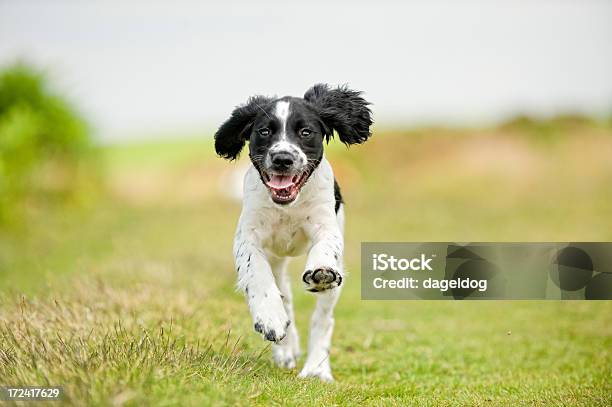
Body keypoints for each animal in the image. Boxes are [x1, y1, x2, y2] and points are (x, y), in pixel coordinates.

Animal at [215, 83, 372, 382]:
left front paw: (321, 270)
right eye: (264, 131)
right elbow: (258, 276)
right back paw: (286, 348)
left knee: (323, 318)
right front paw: (270, 319)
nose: (282, 159)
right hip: (276, 261)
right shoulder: (248, 238)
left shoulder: (326, 225)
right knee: (284, 295)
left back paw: (316, 369)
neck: (288, 205)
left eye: (306, 132)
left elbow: (325, 248)